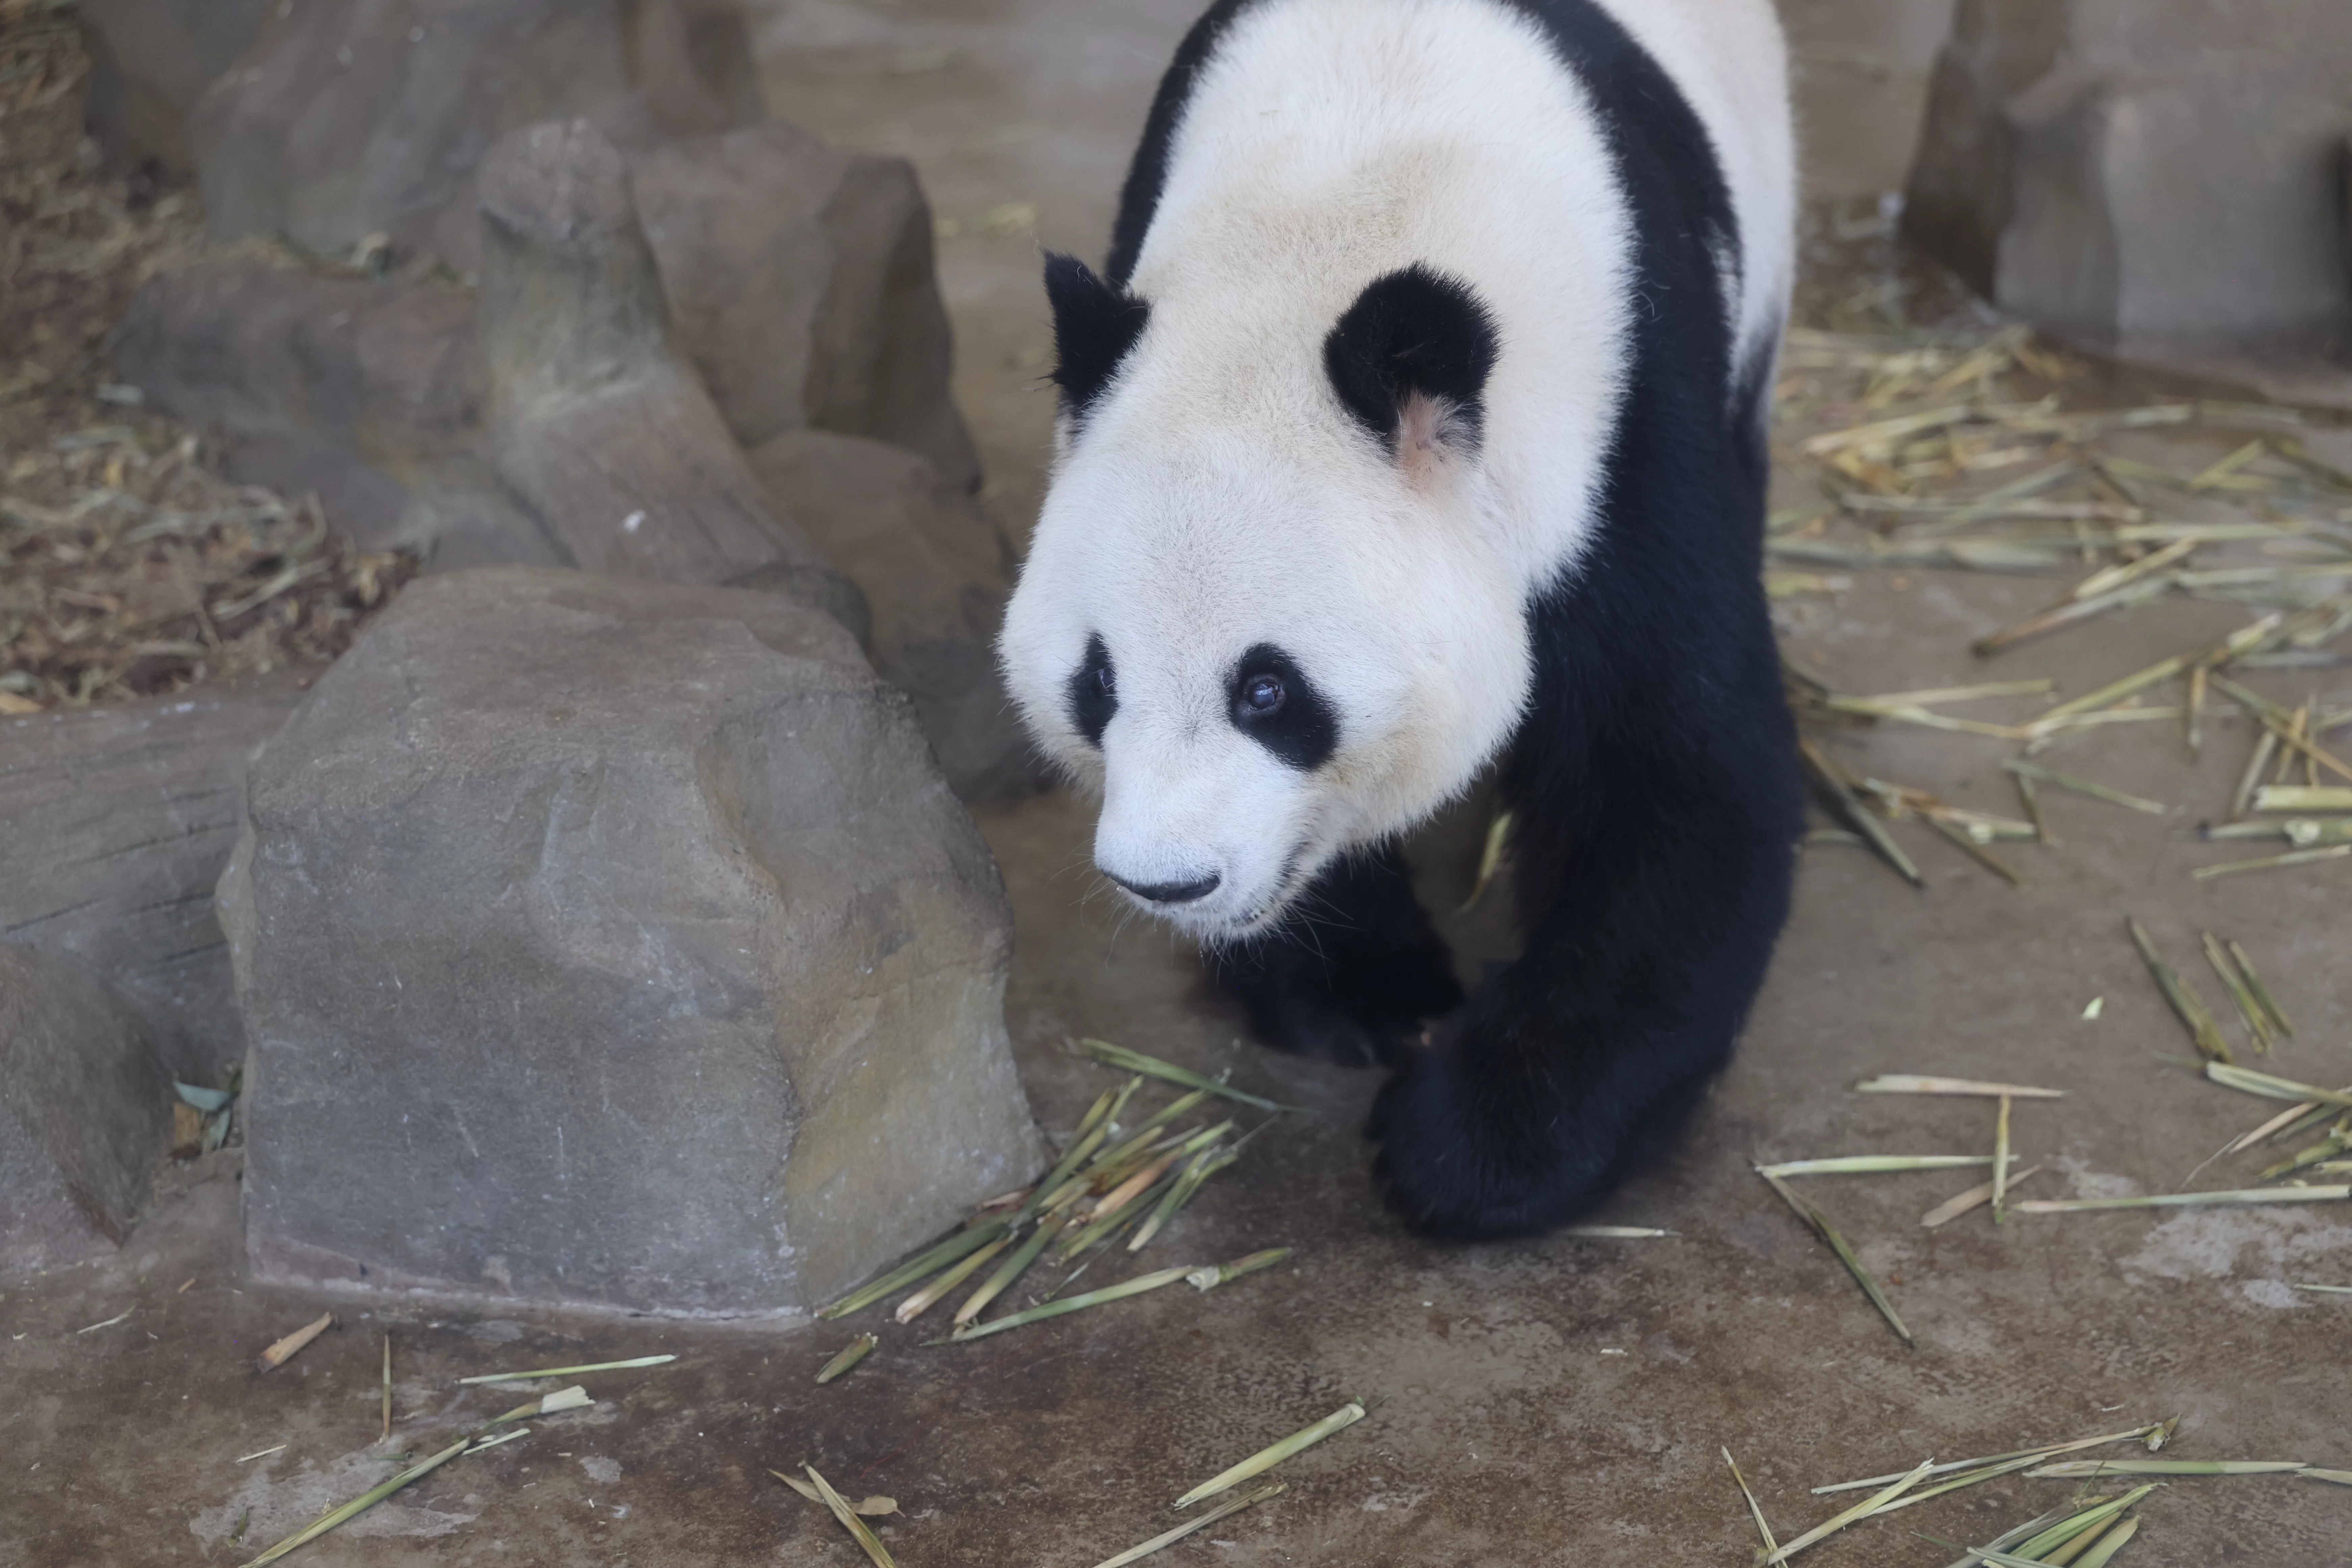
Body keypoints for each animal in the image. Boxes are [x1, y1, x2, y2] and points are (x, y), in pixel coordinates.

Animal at [998, 0, 1802, 1238]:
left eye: (1268, 691)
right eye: (1099, 683)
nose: (1168, 883)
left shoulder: (1629, 416)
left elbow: (1680, 780)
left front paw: (1465, 1146)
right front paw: (1362, 994)